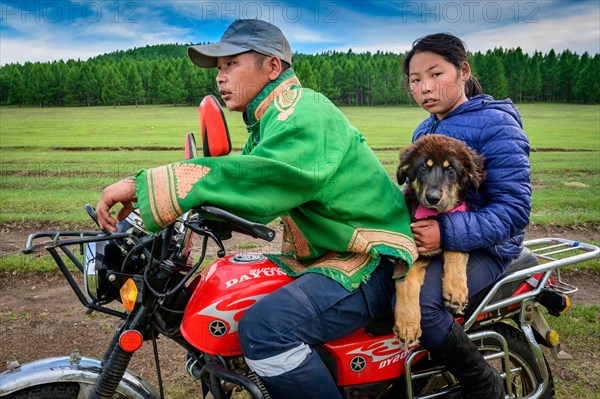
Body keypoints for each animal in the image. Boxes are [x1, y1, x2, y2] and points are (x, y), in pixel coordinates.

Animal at [394, 134, 488, 346]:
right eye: (424, 166)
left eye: (450, 169)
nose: (433, 198)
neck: (434, 216)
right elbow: (406, 282)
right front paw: (407, 324)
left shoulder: (458, 225)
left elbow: (456, 250)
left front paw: (456, 289)